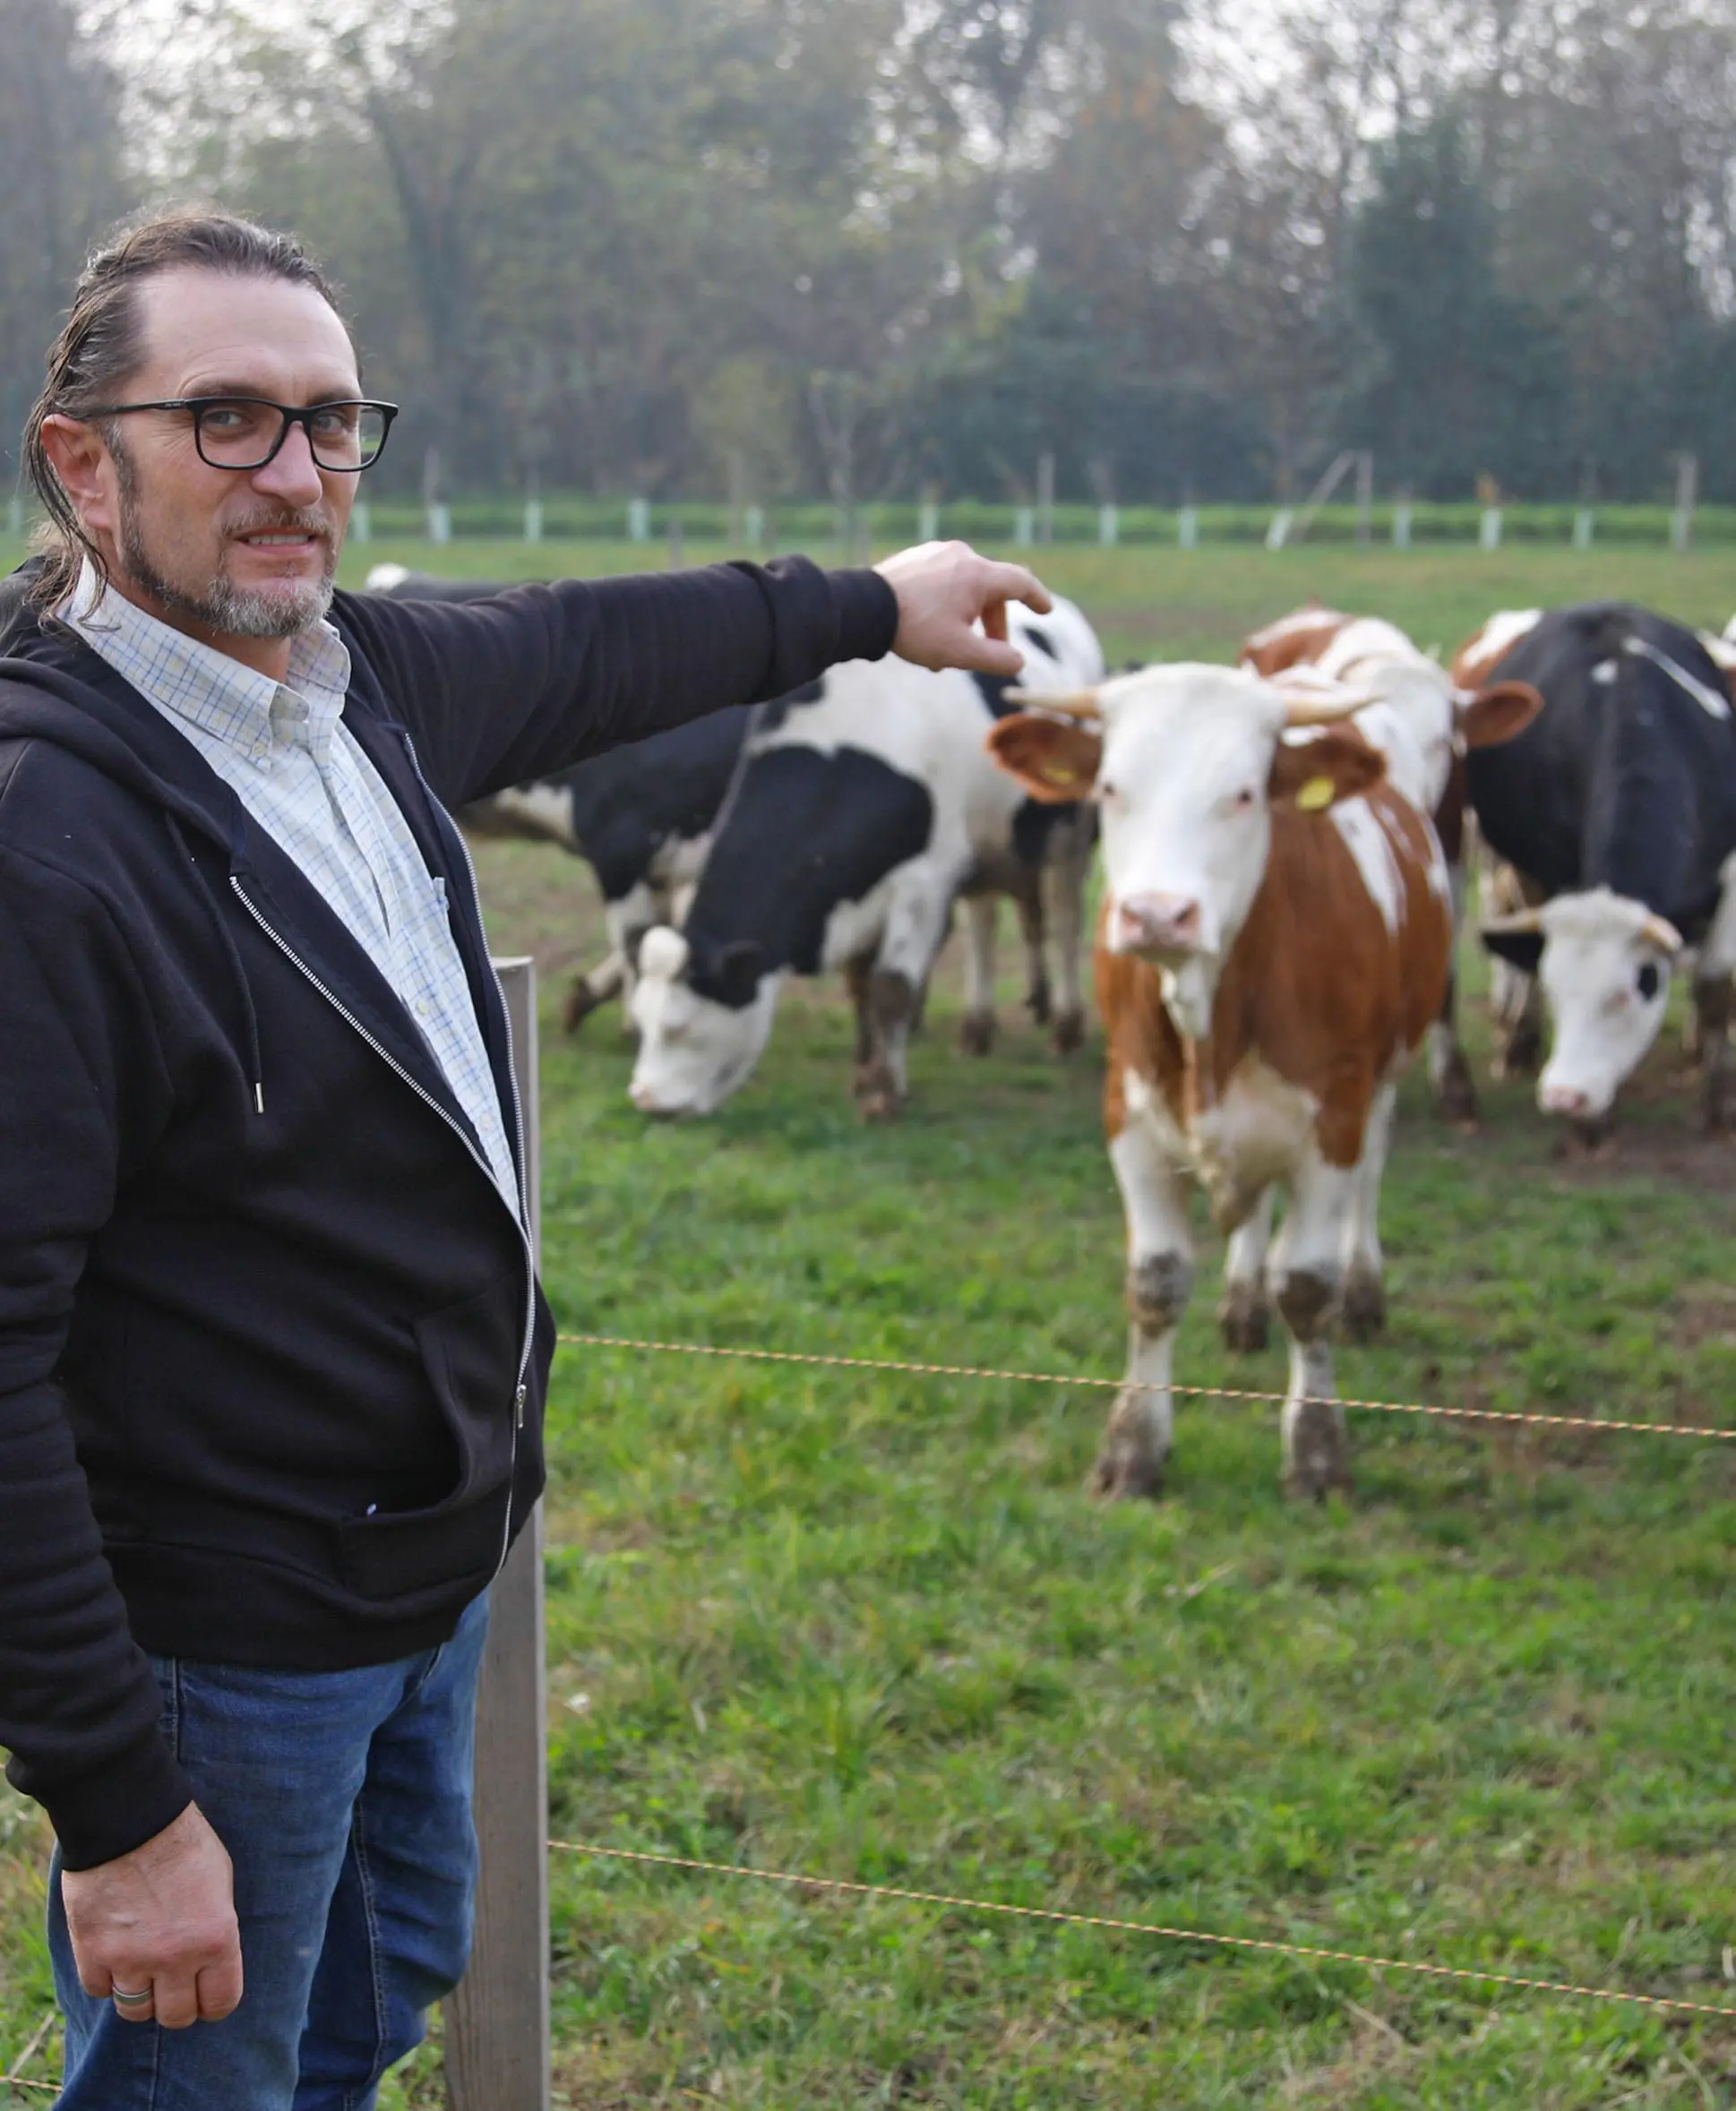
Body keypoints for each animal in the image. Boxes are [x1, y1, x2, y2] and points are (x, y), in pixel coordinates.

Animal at [633, 599, 1106, 1122]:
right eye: (641, 1020)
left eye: (678, 1026)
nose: (646, 1101)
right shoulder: (855, 888)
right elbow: (859, 984)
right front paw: (863, 1072)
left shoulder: (922, 885)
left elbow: (891, 988)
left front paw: (884, 1091)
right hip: (986, 843)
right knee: (983, 928)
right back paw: (977, 1028)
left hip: (1070, 835)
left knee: (1065, 922)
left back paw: (1067, 1028)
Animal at [993, 663, 1453, 1503]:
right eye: (1111, 786)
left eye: (1243, 793)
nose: (1156, 914)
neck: (1212, 1001)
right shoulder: (1130, 1114)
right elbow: (1156, 1283)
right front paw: (1132, 1448)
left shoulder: (1334, 1119)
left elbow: (1307, 1286)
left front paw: (1316, 1452)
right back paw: (1242, 1304)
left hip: (1382, 1083)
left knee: (1368, 1181)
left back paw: (1364, 1292)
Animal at [1444, 607, 1736, 1139]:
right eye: (1560, 992)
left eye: (1624, 995)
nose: (1564, 1097)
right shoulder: (1547, 871)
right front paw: (1594, 1127)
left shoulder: (1724, 881)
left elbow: (1713, 991)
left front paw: (1720, 1106)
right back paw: (1519, 1042)